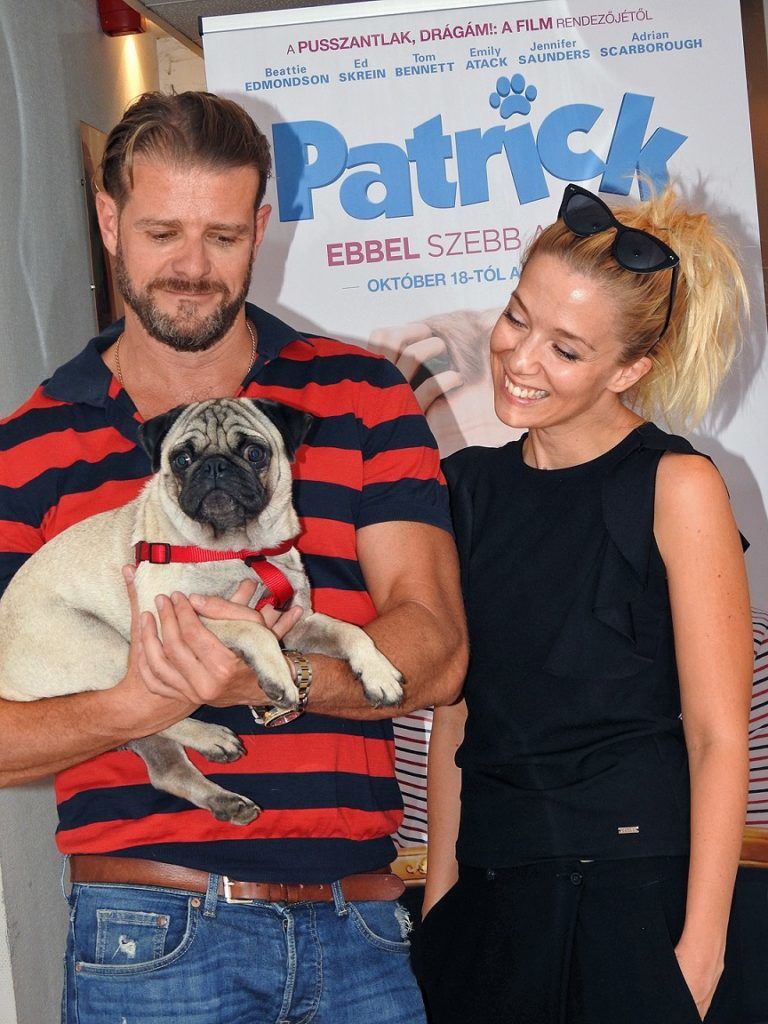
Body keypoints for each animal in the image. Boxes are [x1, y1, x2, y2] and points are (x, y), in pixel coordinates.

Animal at [0, 398, 403, 824]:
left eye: (254, 453)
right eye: (182, 459)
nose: (214, 467)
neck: (239, 551)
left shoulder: (296, 623)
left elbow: (351, 632)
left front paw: (378, 673)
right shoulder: (177, 619)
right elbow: (251, 629)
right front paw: (278, 674)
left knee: (165, 766)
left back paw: (225, 799)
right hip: (107, 649)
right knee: (146, 712)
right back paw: (211, 737)